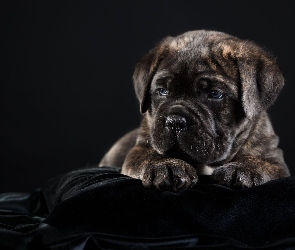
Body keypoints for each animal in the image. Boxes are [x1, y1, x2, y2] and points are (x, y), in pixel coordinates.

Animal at [100, 30, 290, 190]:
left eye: (215, 94)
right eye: (162, 91)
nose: (175, 121)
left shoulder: (275, 159)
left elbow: (261, 162)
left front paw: (243, 169)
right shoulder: (140, 149)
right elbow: (149, 156)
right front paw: (167, 166)